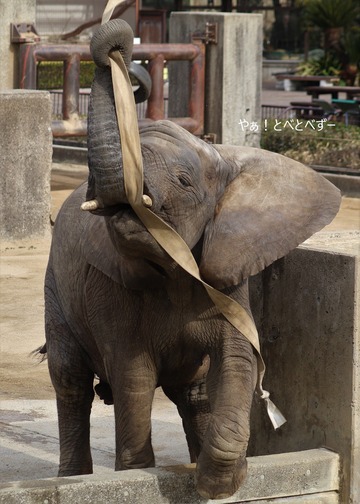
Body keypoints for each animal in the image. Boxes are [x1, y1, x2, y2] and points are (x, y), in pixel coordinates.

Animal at [43, 17, 342, 498]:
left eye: (184, 181)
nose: (120, 50)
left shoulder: (228, 275)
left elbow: (239, 359)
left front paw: (220, 484)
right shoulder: (111, 292)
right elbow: (133, 375)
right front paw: (137, 475)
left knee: (196, 394)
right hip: (55, 288)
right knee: (70, 381)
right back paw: (73, 479)